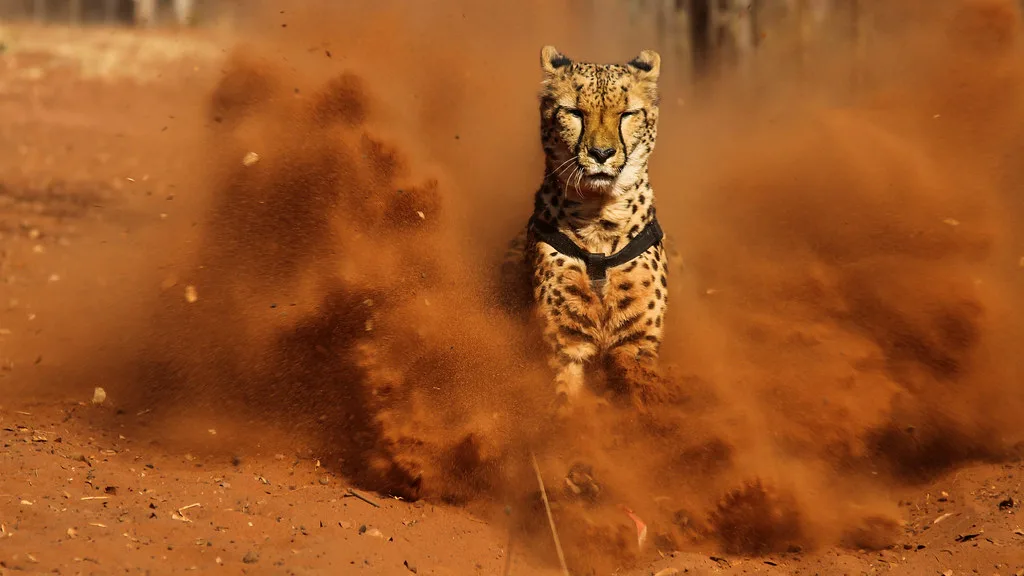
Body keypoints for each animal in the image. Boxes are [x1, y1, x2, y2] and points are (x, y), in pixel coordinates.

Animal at [501, 47, 671, 409]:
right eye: (575, 113)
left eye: (627, 114)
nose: (601, 153)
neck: (599, 218)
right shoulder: (565, 345)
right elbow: (567, 401)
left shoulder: (636, 347)